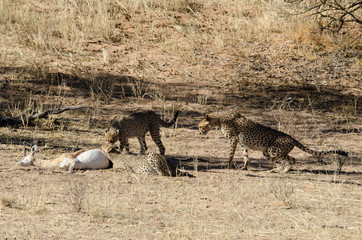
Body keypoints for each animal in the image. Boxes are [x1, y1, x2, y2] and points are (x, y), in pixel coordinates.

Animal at [198, 110, 348, 172]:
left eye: (200, 126)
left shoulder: (233, 140)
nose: (199, 132)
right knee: (284, 160)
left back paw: (282, 171)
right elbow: (246, 156)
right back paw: (276, 170)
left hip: (272, 150)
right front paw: (245, 167)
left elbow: (230, 155)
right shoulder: (241, 143)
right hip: (267, 153)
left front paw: (228, 166)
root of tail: (291, 137)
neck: (218, 119)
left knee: (292, 159)